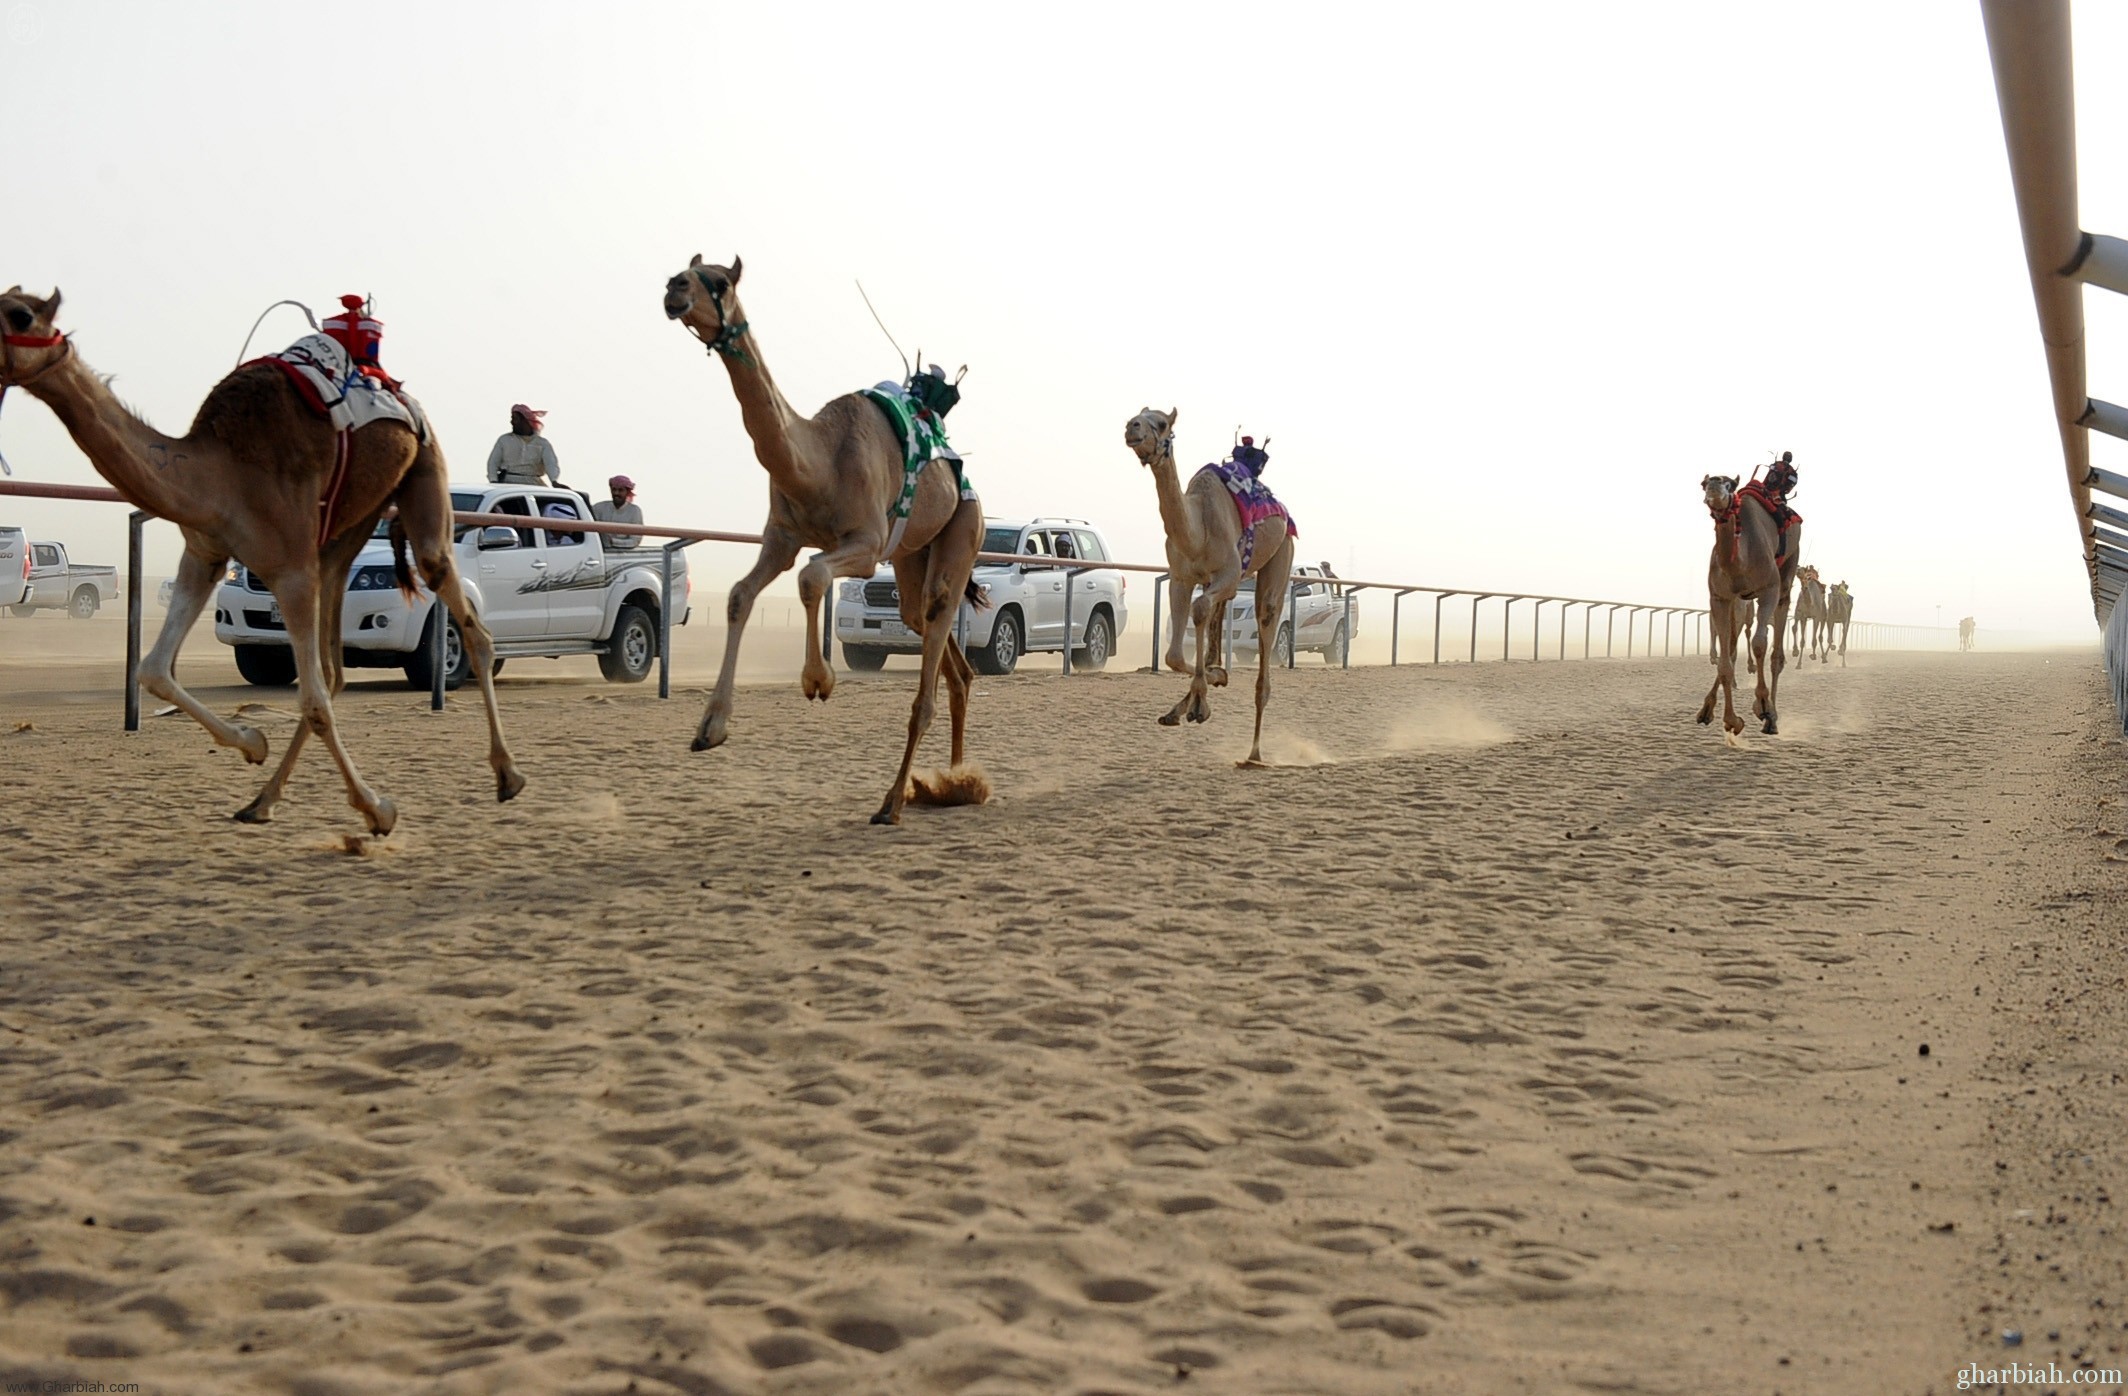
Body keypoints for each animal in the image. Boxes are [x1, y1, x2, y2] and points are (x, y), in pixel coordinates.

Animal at [0, 283, 519, 829]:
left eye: (20, 315)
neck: (220, 469)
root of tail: (395, 389)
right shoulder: (205, 553)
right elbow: (154, 670)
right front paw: (253, 743)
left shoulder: (288, 569)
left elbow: (312, 699)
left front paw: (377, 809)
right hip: (345, 531)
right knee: (334, 666)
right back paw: (261, 800)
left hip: (424, 464)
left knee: (465, 620)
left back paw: (508, 775)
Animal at [659, 257, 983, 821]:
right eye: (687, 272)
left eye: (718, 282)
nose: (674, 288)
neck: (819, 462)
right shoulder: (781, 536)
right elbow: (741, 595)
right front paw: (710, 728)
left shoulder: (867, 543)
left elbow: (812, 578)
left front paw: (818, 680)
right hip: (912, 555)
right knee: (938, 646)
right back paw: (952, 781)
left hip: (962, 530)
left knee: (933, 656)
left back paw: (895, 801)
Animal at [1123, 408, 1285, 770]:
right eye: (1140, 415)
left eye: (1162, 423)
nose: (1131, 427)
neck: (1197, 531)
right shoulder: (1181, 579)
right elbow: (1172, 654)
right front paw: (1210, 682)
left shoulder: (1230, 573)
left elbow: (1199, 610)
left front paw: (1204, 697)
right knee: (1215, 615)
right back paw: (1184, 704)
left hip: (1282, 550)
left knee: (1265, 618)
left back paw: (1254, 754)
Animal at [1693, 474, 1796, 736]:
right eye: (1704, 484)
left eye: (1729, 483)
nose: (1714, 486)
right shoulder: (1719, 598)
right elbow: (1725, 660)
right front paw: (1730, 720)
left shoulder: (1769, 589)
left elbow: (1760, 644)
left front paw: (1763, 706)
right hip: (1739, 604)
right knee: (1731, 647)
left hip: (1786, 577)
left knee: (1776, 653)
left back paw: (1772, 718)